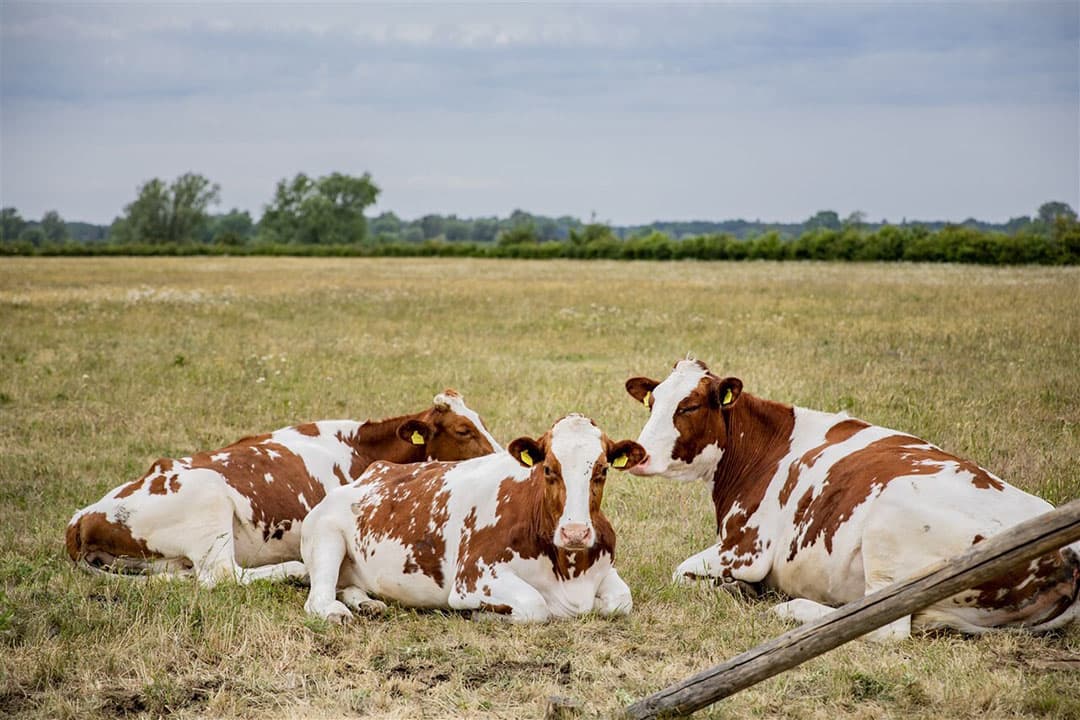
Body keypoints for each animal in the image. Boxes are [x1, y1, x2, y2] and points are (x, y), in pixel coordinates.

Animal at [66, 390, 500, 586]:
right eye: (463, 430)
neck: (356, 447)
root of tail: (81, 519)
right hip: (210, 505)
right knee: (225, 575)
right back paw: (297, 569)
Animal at [301, 414, 646, 624]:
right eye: (548, 469)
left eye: (602, 470)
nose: (575, 533)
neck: (568, 569)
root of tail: (372, 472)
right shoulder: (474, 578)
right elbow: (535, 605)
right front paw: (485, 614)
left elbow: (620, 601)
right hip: (325, 536)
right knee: (318, 597)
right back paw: (337, 611)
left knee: (346, 586)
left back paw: (367, 603)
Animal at [625, 359, 1080, 641]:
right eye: (652, 402)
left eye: (689, 406)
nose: (639, 453)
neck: (764, 447)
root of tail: (1068, 554)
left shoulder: (746, 548)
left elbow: (680, 573)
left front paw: (739, 591)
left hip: (891, 523)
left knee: (883, 626)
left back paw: (794, 611)